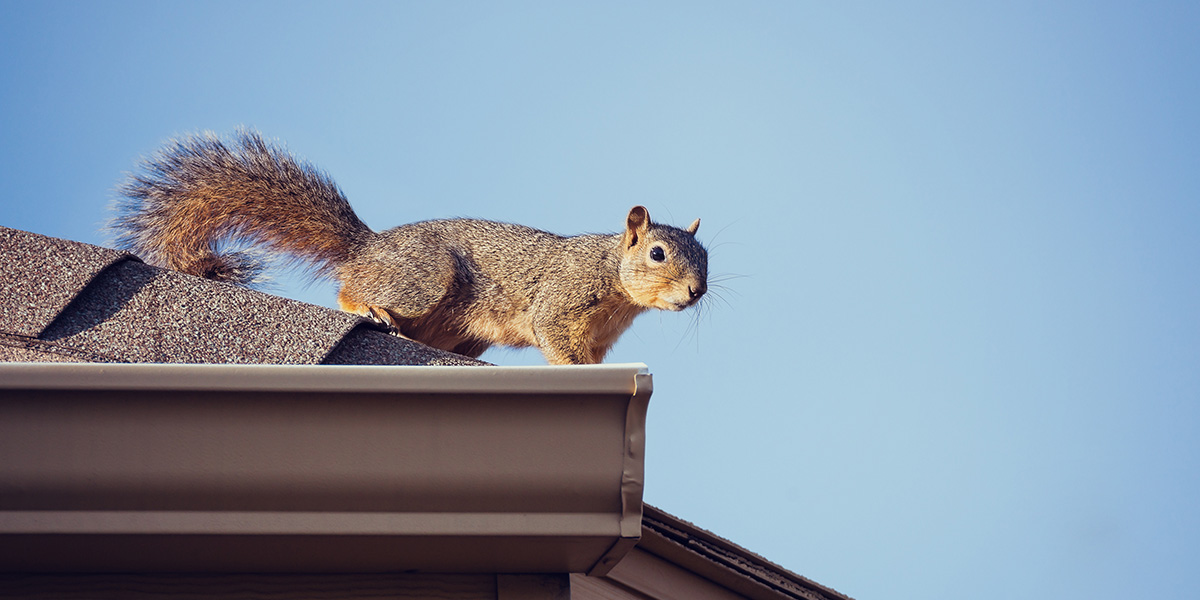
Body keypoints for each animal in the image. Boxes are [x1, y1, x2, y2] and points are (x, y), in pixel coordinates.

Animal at [108, 130, 705, 362]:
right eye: (657, 253)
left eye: (706, 259)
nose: (696, 292)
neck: (614, 279)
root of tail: (367, 247)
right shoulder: (562, 300)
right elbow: (554, 336)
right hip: (423, 279)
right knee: (350, 290)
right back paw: (369, 307)